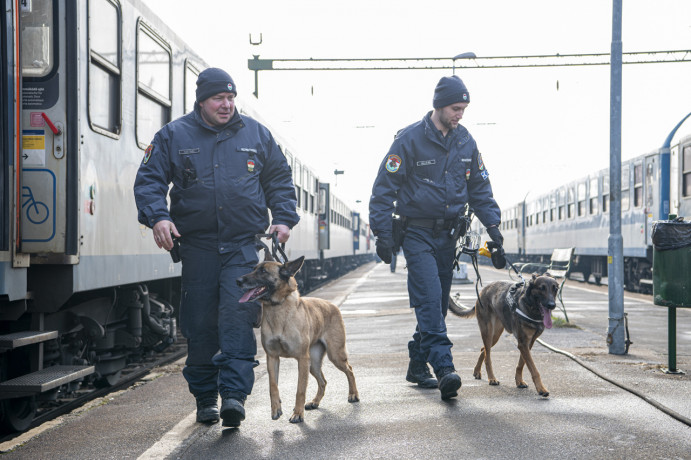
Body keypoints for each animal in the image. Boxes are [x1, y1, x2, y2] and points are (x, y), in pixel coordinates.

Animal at [237, 253, 360, 422]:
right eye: (254, 269)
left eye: (263, 271)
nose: (238, 281)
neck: (278, 307)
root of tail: (332, 305)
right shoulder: (272, 358)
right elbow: (273, 386)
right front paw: (276, 409)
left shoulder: (302, 359)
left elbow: (300, 389)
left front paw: (297, 413)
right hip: (313, 364)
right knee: (323, 381)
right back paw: (315, 402)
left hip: (334, 355)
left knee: (350, 370)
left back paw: (353, 394)